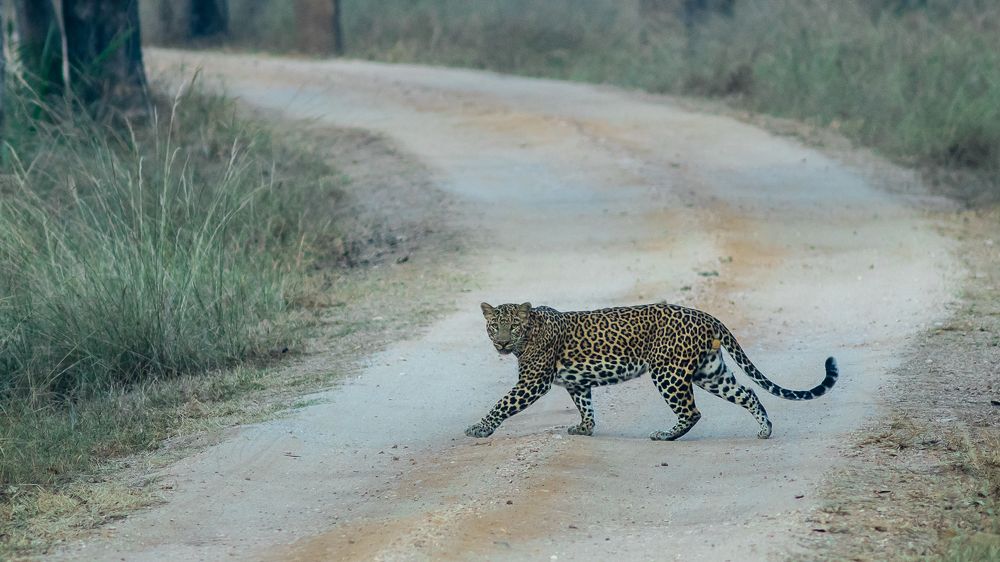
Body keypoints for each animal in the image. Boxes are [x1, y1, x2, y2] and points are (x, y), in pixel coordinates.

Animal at [465, 302, 838, 441]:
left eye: (512, 327)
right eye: (493, 326)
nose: (501, 343)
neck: (530, 332)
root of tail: (706, 315)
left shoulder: (533, 382)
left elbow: (502, 404)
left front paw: (480, 428)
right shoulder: (577, 382)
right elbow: (585, 405)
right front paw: (585, 428)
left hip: (668, 371)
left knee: (692, 411)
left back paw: (666, 435)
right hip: (710, 372)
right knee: (747, 392)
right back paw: (765, 429)